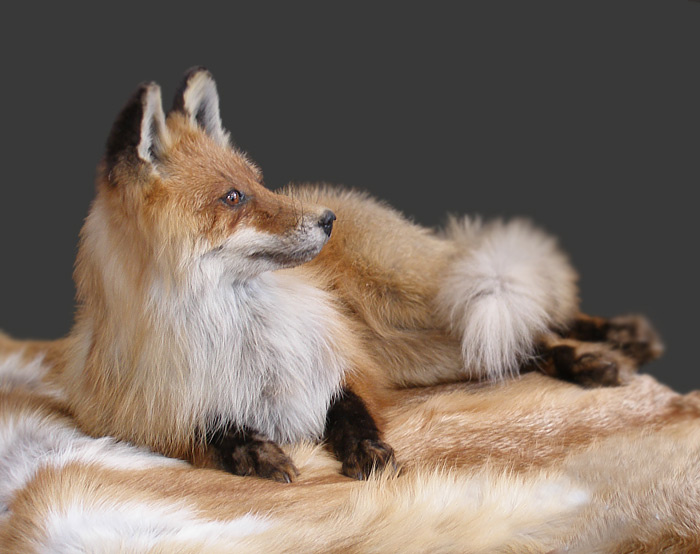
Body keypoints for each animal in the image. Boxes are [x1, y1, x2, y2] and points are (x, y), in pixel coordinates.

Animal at [1, 67, 663, 482]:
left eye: (258, 182)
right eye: (234, 198)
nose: (325, 220)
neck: (240, 335)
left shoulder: (342, 363)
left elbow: (349, 412)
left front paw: (368, 450)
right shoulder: (138, 419)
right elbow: (212, 431)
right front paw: (256, 452)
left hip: (428, 307)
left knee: (536, 323)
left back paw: (605, 348)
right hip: (426, 353)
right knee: (511, 347)